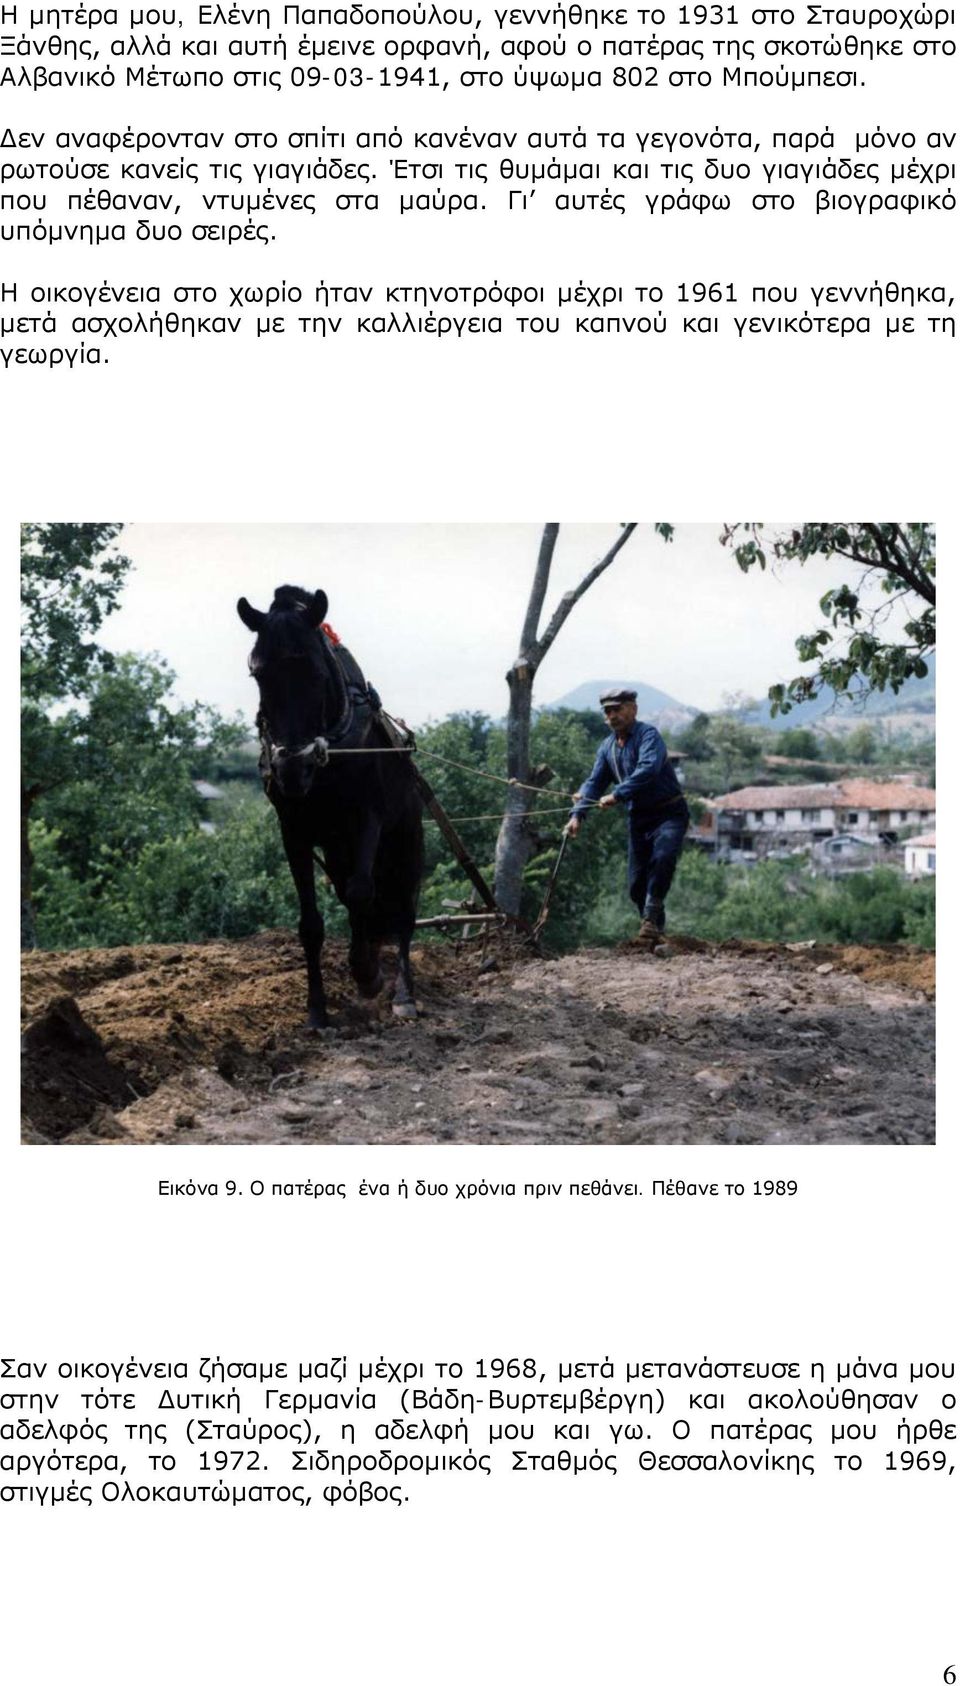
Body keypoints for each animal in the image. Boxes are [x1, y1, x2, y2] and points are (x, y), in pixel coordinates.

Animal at [236, 579, 423, 1025]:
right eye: (258, 674)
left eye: (316, 673)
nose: (292, 769)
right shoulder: (294, 832)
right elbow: (311, 923)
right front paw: (317, 1008)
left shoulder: (368, 818)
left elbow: (361, 893)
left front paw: (367, 973)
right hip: (338, 855)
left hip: (406, 844)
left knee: (402, 913)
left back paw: (402, 993)